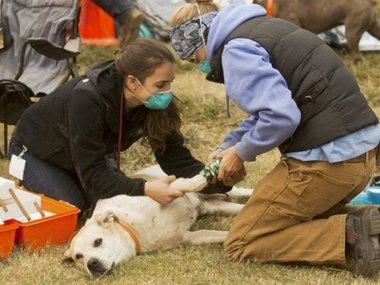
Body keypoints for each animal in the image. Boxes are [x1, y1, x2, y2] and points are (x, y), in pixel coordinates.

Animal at [63, 163, 251, 276]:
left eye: (98, 241)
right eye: (79, 257)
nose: (92, 264)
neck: (133, 228)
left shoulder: (167, 187)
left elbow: (189, 183)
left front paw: (207, 173)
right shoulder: (190, 237)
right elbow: (224, 235)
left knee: (240, 191)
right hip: (215, 205)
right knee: (238, 208)